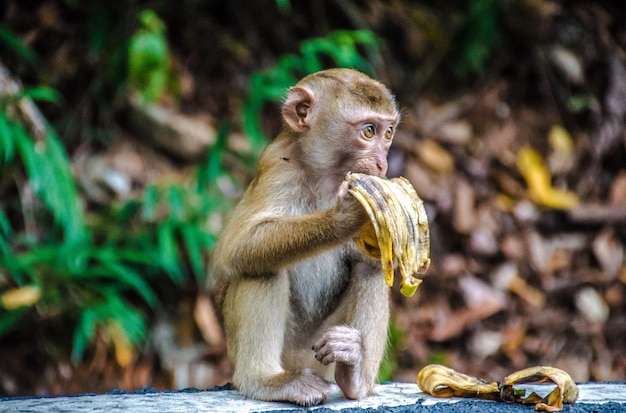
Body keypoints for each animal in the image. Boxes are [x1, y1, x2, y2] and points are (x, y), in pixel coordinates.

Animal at [211, 68, 400, 406]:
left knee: (370, 269)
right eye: (368, 132)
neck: (325, 175)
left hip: (320, 352)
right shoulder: (278, 170)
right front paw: (345, 216)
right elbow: (238, 247)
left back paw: (354, 375)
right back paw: (266, 381)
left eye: (388, 133)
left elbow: (373, 260)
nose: (382, 164)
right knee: (260, 266)